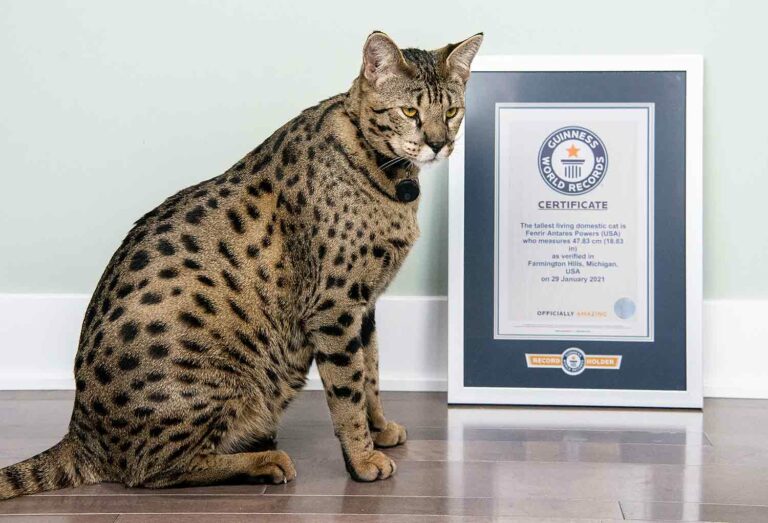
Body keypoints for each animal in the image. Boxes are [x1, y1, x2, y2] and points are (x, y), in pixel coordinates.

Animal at [0, 29, 480, 500]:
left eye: (451, 111)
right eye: (409, 111)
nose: (439, 143)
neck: (388, 178)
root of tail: (79, 433)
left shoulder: (366, 306)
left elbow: (372, 375)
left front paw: (379, 429)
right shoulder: (335, 306)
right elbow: (348, 391)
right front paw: (362, 460)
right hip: (222, 380)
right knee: (150, 471)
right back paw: (264, 461)